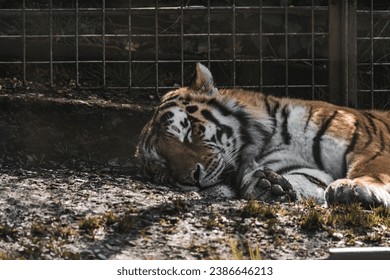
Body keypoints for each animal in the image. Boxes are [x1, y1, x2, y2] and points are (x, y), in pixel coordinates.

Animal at [135, 63, 390, 208]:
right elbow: (305, 178)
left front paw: (354, 189)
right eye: (162, 168)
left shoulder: (369, 147)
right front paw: (267, 186)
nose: (192, 179)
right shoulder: (294, 166)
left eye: (188, 130)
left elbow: (373, 170)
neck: (266, 141)